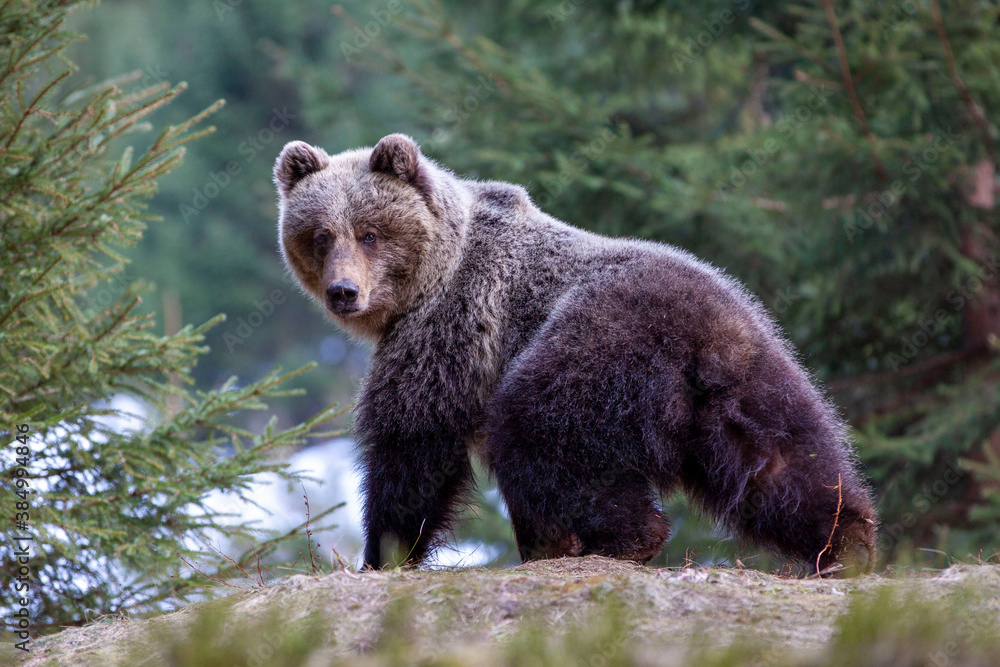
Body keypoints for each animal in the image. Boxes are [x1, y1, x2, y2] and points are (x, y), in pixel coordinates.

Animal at [274, 133, 878, 576]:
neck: (428, 276)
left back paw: (624, 539)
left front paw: (383, 554)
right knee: (786, 464)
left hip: (594, 348)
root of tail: (702, 340)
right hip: (752, 376)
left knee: (537, 431)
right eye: (321, 235)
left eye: (370, 233)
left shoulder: (452, 325)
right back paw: (846, 544)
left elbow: (414, 437)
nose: (344, 291)